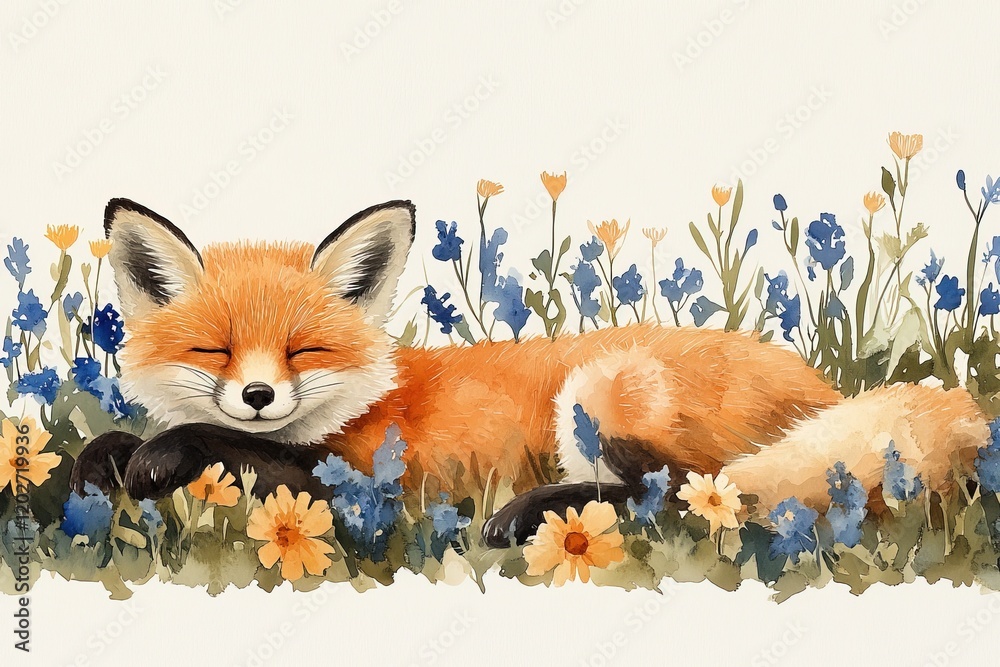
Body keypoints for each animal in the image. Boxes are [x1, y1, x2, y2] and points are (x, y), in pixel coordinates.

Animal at [70, 197, 990, 547]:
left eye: (304, 351)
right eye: (214, 351)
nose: (259, 394)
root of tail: (834, 393)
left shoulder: (369, 486)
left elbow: (232, 447)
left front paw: (161, 455)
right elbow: (117, 443)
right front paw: (104, 463)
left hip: (604, 391)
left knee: (688, 499)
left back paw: (525, 518)